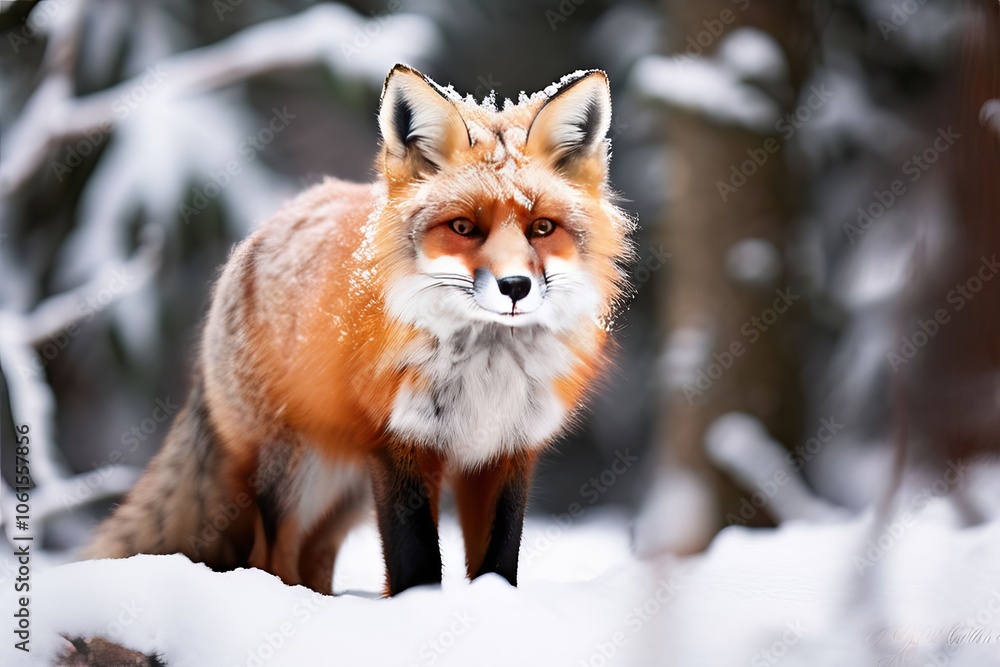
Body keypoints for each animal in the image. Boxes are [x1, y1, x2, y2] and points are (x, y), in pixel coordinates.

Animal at [85, 64, 635, 596]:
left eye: (542, 229)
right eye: (462, 228)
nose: (515, 286)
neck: (484, 373)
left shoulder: (506, 451)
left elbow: (498, 565)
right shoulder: (399, 443)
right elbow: (416, 564)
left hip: (344, 491)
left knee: (314, 561)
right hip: (298, 473)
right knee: (271, 558)